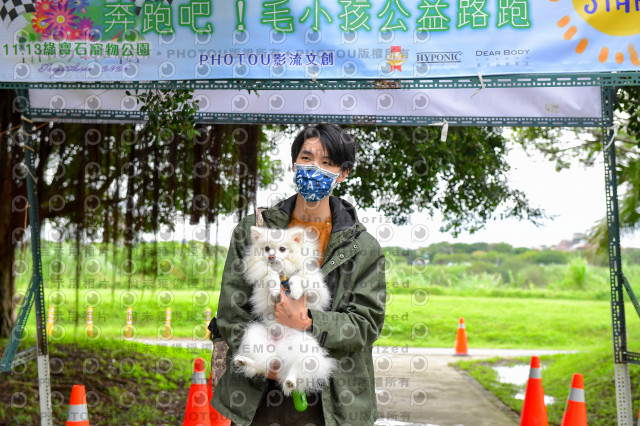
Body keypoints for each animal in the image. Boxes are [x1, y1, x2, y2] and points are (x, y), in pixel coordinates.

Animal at [232, 226, 338, 396]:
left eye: (282, 249)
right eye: (267, 248)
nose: (271, 256)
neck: (283, 275)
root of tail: (278, 352)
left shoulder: (316, 292)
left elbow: (298, 278)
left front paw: (295, 291)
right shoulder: (264, 294)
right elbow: (270, 276)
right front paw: (275, 287)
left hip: (303, 346)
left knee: (295, 367)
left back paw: (290, 381)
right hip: (255, 337)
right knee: (263, 365)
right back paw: (243, 361)